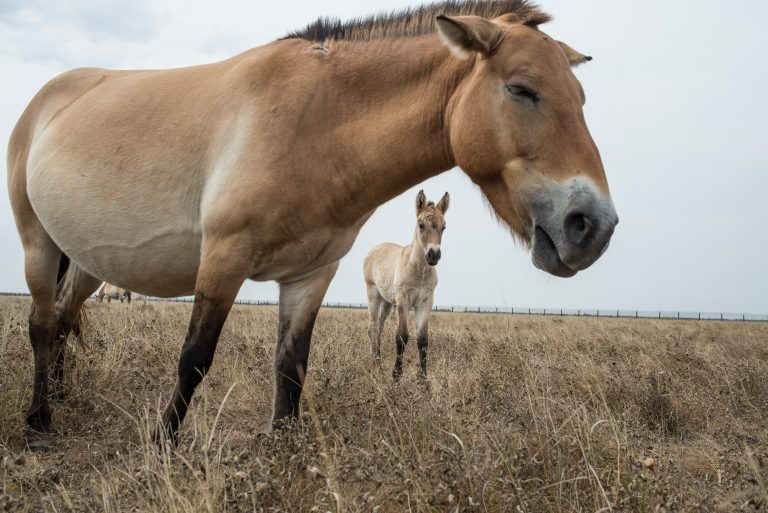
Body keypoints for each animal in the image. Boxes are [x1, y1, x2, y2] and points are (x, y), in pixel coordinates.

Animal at [366, 190, 450, 378]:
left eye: (444, 227)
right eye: (421, 224)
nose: (433, 255)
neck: (418, 271)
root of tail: (374, 250)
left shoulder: (425, 303)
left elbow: (423, 339)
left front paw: (423, 378)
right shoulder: (403, 301)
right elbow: (402, 336)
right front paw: (396, 375)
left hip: (388, 302)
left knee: (379, 328)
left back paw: (378, 363)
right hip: (374, 296)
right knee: (373, 328)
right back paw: (376, 366)